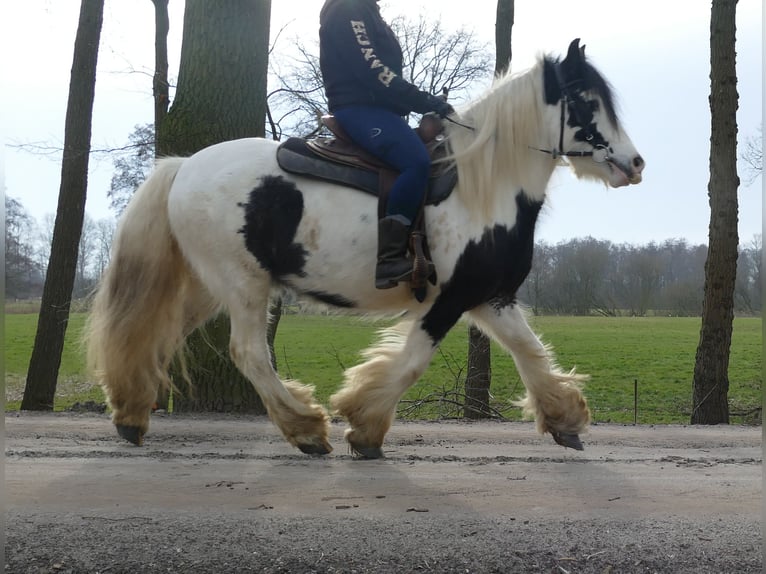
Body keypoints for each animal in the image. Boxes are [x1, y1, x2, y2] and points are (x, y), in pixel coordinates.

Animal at [86, 39, 644, 458]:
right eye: (587, 102)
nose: (635, 164)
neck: (482, 189)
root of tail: (184, 166)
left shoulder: (491, 297)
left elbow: (530, 352)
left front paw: (565, 420)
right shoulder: (449, 299)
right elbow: (412, 361)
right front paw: (364, 423)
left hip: (210, 286)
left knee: (157, 335)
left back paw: (130, 414)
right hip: (244, 285)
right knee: (248, 353)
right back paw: (305, 429)